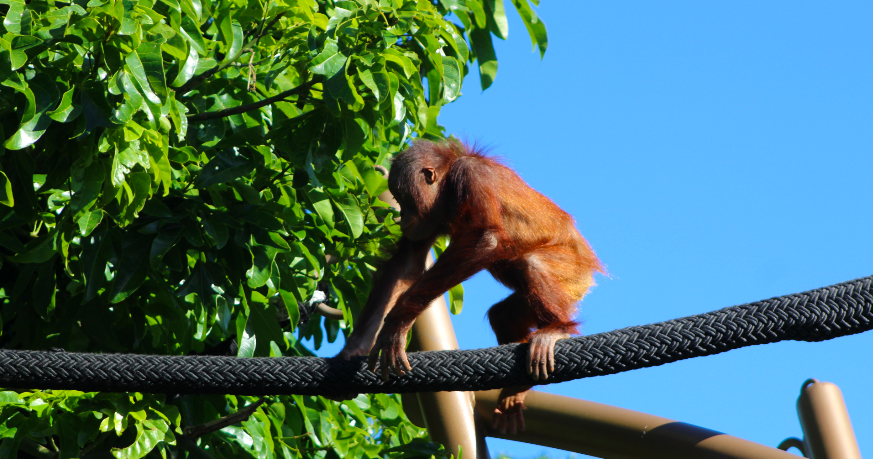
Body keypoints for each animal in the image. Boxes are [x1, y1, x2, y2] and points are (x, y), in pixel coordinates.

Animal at [338, 139, 603, 434]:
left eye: (402, 198)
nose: (402, 216)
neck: (448, 184)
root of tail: (588, 275)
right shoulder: (429, 219)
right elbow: (405, 264)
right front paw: (351, 352)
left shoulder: (470, 175)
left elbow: (485, 240)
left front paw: (396, 323)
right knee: (503, 314)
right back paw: (517, 389)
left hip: (571, 272)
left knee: (531, 263)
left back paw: (557, 330)